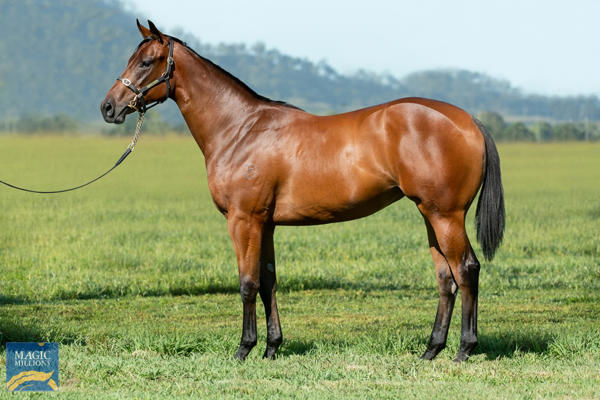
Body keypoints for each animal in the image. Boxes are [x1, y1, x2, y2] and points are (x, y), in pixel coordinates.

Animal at [101, 19, 504, 362]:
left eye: (146, 62)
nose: (108, 107)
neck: (239, 129)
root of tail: (469, 121)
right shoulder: (265, 224)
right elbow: (268, 282)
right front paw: (271, 348)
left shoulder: (243, 220)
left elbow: (247, 283)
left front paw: (244, 349)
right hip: (429, 215)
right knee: (446, 279)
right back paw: (431, 350)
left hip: (445, 215)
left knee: (466, 270)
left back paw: (464, 350)